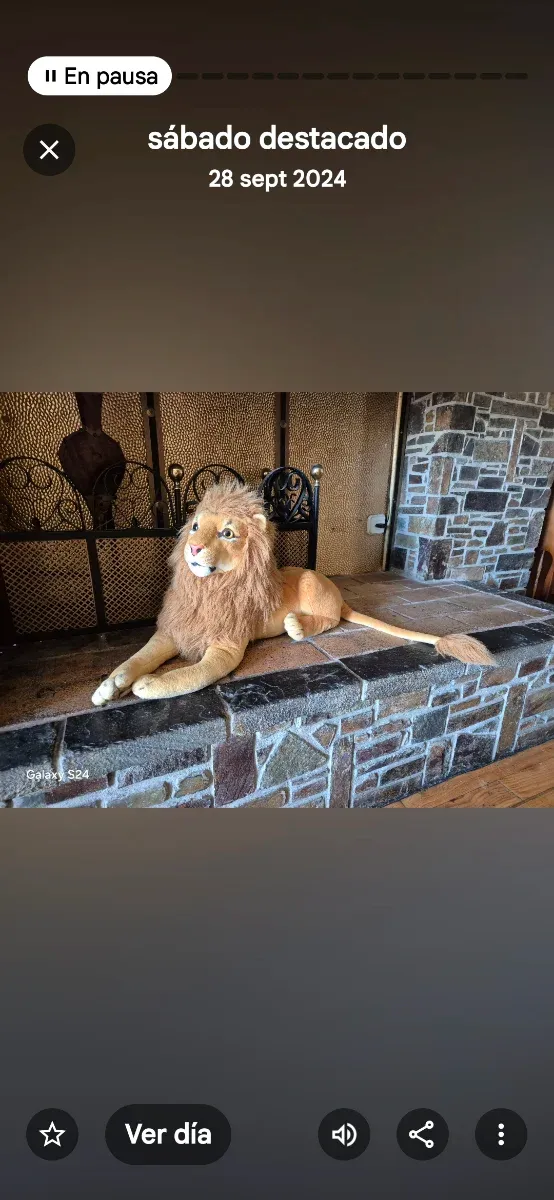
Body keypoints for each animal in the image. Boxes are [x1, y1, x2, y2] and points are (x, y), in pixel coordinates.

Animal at [91, 480, 494, 706]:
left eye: (226, 533)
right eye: (193, 527)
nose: (192, 548)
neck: (208, 588)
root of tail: (339, 594)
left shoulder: (225, 648)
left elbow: (191, 675)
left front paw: (148, 685)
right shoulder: (172, 631)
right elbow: (135, 658)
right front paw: (111, 686)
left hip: (311, 583)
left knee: (330, 619)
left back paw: (296, 626)